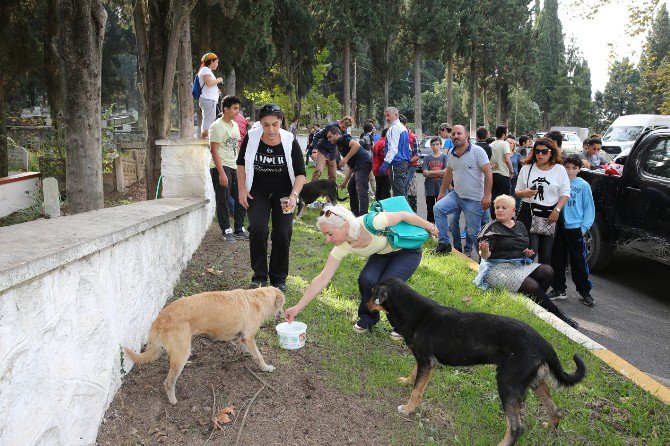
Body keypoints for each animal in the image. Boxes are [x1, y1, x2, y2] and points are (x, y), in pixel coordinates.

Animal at [122, 288, 284, 406]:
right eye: (282, 305)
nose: (284, 316)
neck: (256, 299)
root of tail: (159, 318)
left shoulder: (241, 337)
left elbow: (243, 346)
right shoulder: (249, 337)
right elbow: (259, 356)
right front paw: (266, 367)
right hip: (181, 352)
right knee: (168, 382)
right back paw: (173, 400)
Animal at [370, 278, 584, 446]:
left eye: (372, 292)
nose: (365, 306)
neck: (416, 313)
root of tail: (544, 344)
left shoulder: (427, 361)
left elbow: (416, 390)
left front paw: (408, 409)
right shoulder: (424, 360)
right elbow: (415, 375)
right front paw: (406, 381)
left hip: (507, 383)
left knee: (516, 427)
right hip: (533, 382)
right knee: (556, 410)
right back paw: (550, 426)